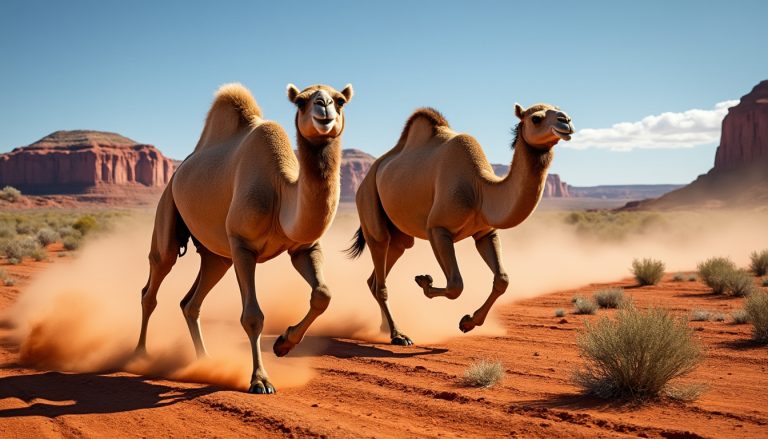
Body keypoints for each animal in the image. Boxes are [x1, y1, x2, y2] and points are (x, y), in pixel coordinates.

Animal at [135, 82, 353, 394]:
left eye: (340, 100)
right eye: (301, 102)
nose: (323, 107)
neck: (281, 191)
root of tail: (177, 173)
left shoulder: (303, 247)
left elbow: (323, 294)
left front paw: (283, 343)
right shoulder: (242, 245)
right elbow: (252, 316)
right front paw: (260, 380)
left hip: (218, 256)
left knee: (191, 302)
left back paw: (205, 360)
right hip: (168, 212)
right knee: (153, 282)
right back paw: (140, 354)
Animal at [347, 103, 573, 345]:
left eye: (559, 109)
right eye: (536, 118)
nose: (566, 121)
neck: (479, 189)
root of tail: (369, 175)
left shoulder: (485, 233)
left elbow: (502, 279)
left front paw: (468, 322)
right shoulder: (438, 229)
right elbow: (456, 284)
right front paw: (425, 283)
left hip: (399, 235)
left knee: (380, 273)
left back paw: (384, 328)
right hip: (368, 202)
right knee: (380, 265)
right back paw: (399, 335)